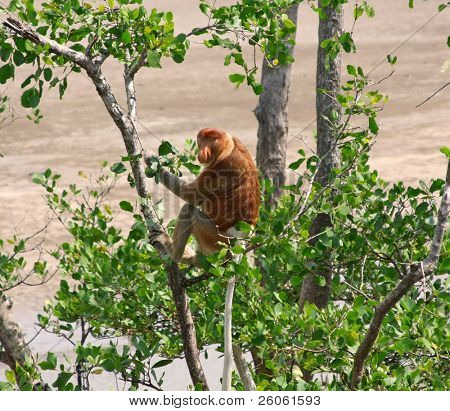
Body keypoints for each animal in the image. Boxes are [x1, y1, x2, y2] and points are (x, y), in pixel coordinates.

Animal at [146, 127, 258, 266]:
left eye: (211, 140)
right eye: (202, 140)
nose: (203, 152)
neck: (228, 146)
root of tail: (241, 239)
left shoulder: (219, 169)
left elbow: (190, 194)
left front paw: (150, 159)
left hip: (217, 240)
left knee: (189, 210)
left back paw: (173, 253)